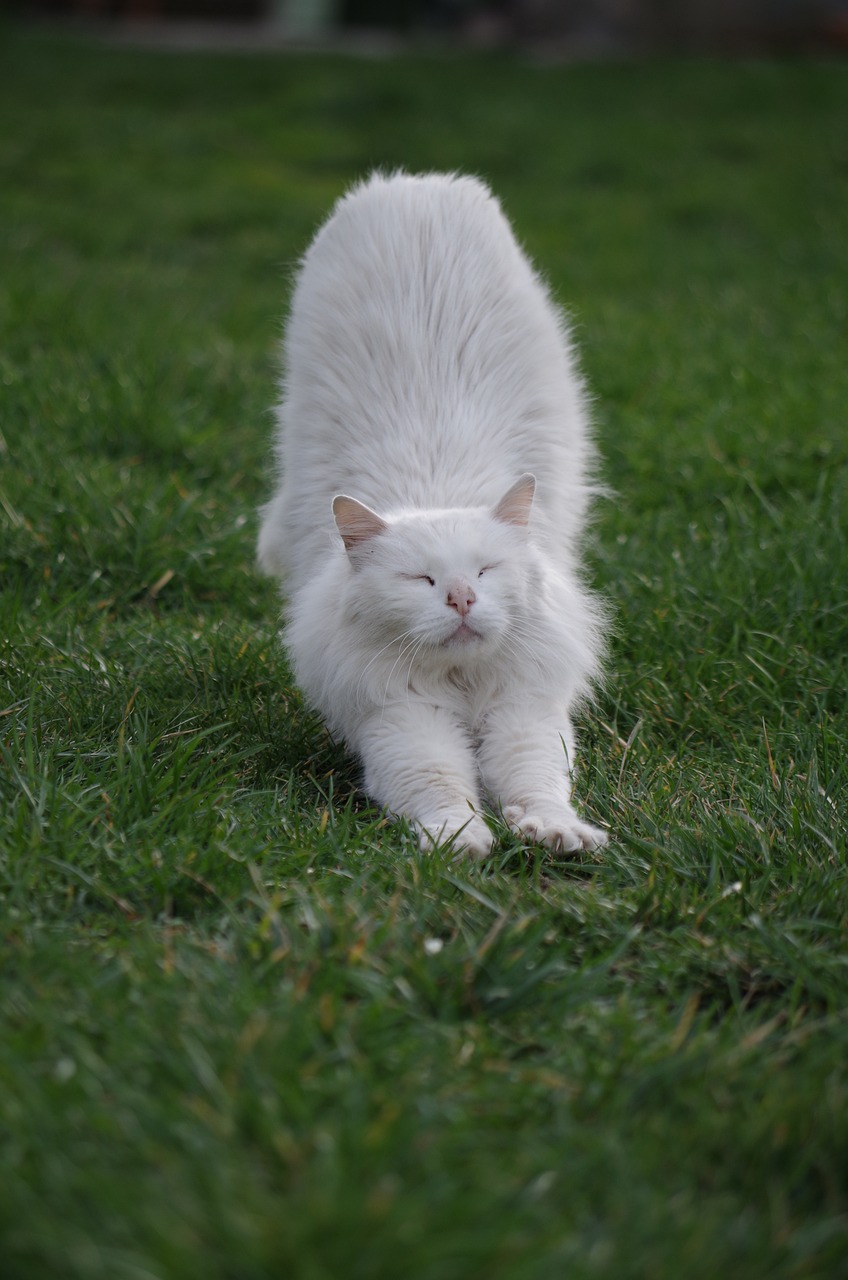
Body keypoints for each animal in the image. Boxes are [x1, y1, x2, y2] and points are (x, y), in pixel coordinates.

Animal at [256, 165, 607, 855]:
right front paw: (460, 841)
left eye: (486, 573)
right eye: (420, 580)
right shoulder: (401, 718)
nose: (462, 600)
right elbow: (438, 783)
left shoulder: (524, 708)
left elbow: (537, 779)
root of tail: (415, 182)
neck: (461, 682)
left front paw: (555, 833)